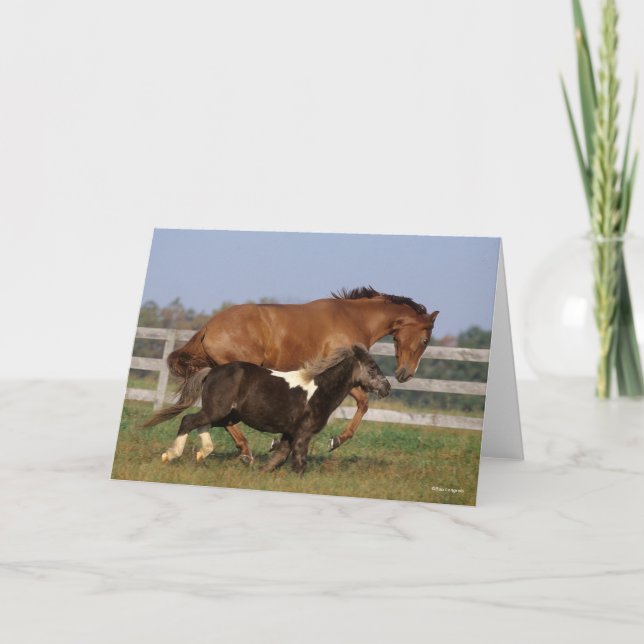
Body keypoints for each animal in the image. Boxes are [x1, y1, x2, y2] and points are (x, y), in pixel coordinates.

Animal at [147, 345, 391, 474]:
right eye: (372, 367)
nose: (387, 387)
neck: (319, 391)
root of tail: (212, 371)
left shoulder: (289, 433)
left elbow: (279, 458)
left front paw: (259, 474)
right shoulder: (303, 433)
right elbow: (299, 462)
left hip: (226, 415)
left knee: (201, 424)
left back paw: (202, 453)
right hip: (218, 411)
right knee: (188, 420)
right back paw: (171, 455)